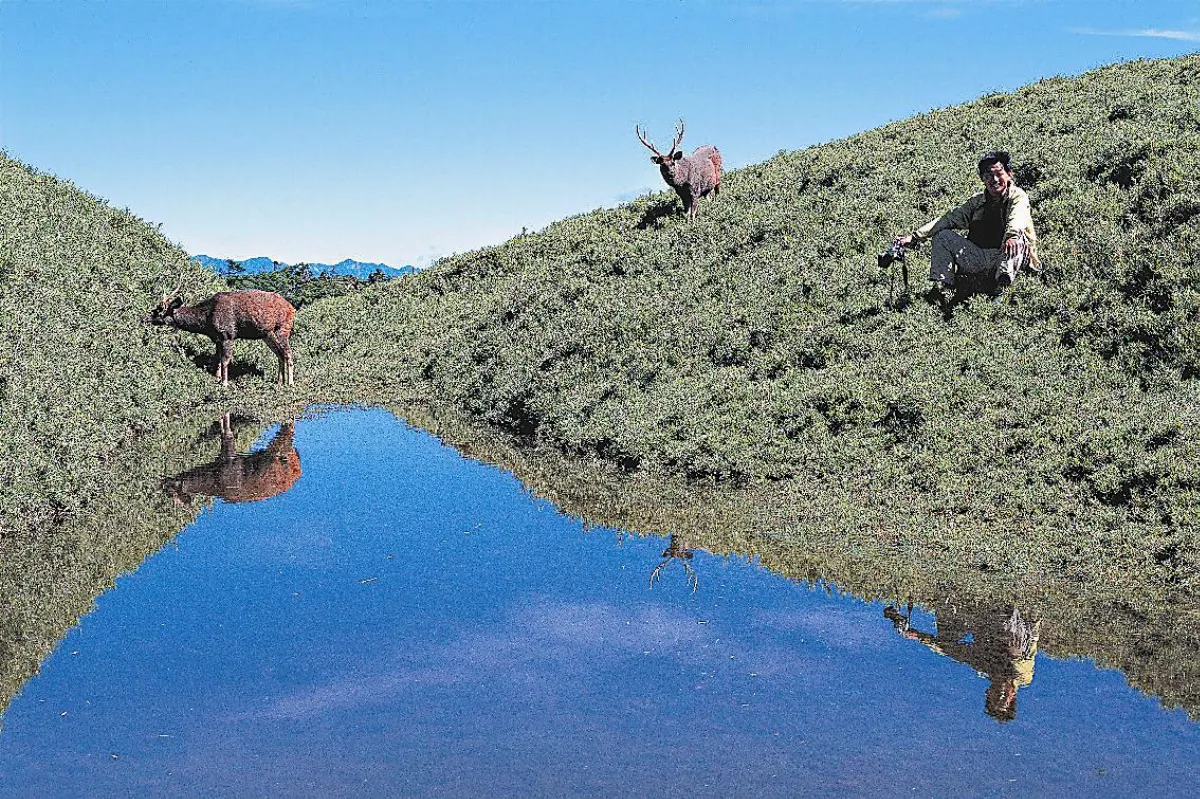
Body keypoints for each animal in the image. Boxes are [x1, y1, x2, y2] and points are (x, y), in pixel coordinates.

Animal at [147, 279, 295, 386]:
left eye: (158, 311)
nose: (146, 318)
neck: (206, 321)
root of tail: (292, 308)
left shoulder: (228, 334)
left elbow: (225, 360)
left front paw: (224, 383)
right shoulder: (217, 338)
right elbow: (217, 358)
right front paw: (217, 379)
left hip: (283, 328)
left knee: (288, 353)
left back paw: (290, 383)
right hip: (267, 334)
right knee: (280, 353)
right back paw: (279, 381)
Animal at [163, 413, 301, 505]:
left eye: (171, 491)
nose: (164, 482)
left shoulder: (230, 456)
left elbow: (227, 430)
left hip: (281, 449)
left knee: (288, 430)